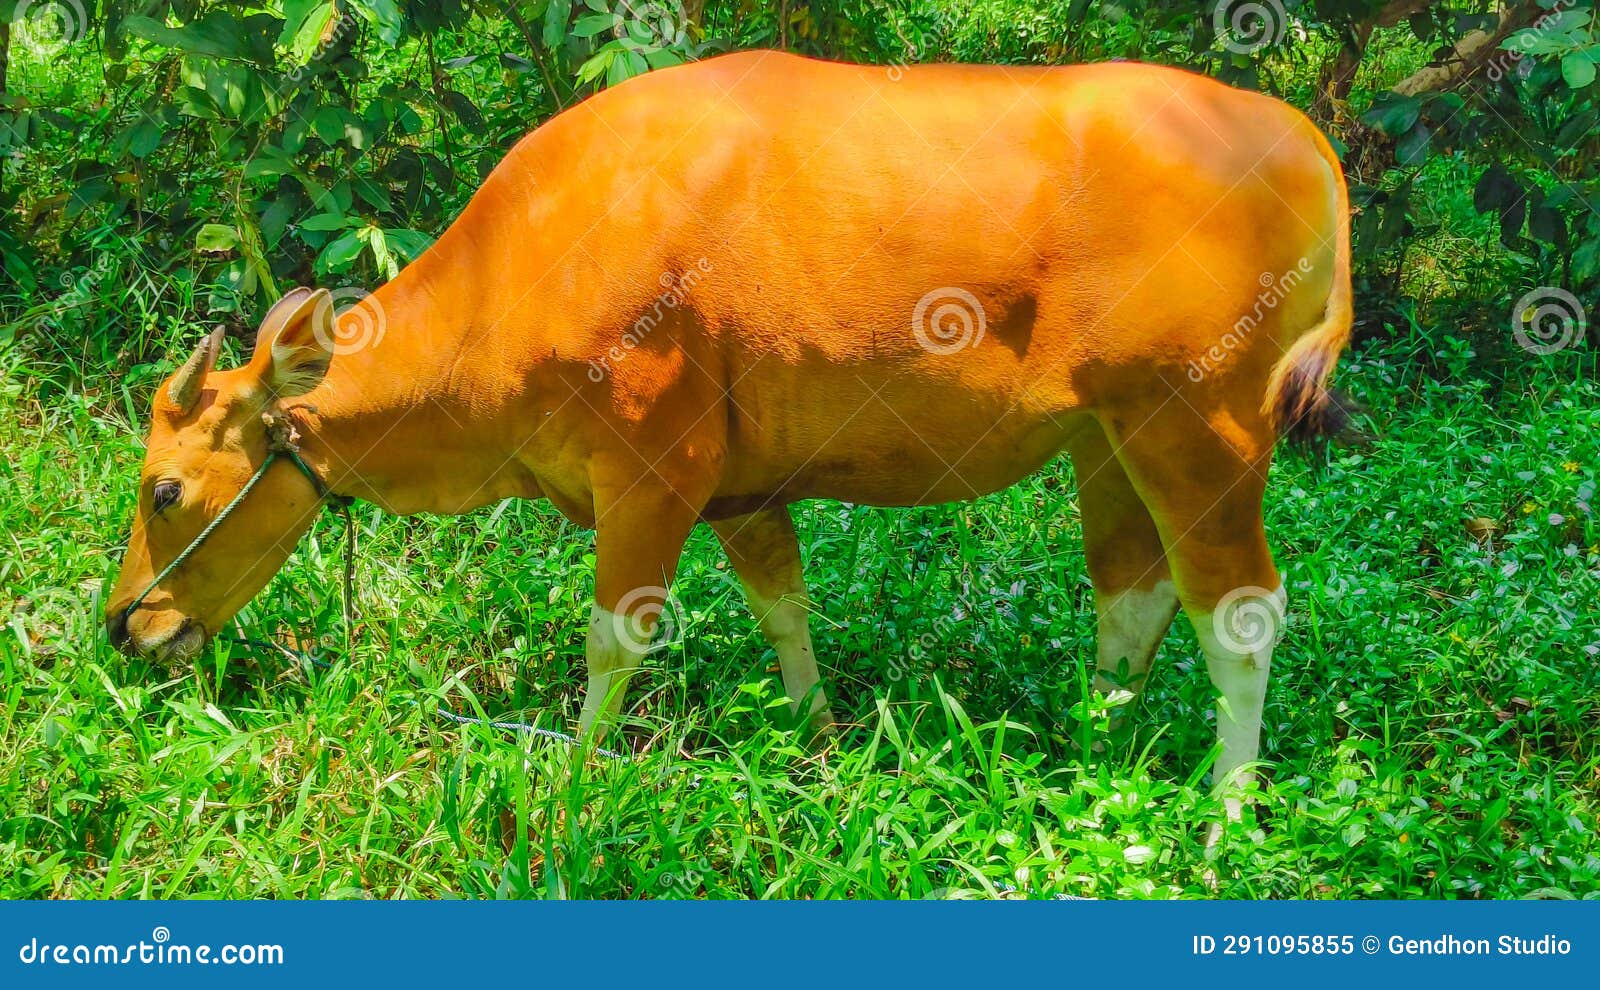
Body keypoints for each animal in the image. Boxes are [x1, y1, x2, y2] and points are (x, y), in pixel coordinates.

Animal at [105, 51, 1351, 810]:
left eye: (165, 490)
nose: (126, 627)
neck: (525, 265)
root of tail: (1298, 137)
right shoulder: (745, 491)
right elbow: (784, 608)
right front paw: (815, 740)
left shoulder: (652, 469)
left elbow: (614, 642)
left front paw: (575, 780)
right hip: (1110, 432)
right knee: (1131, 596)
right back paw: (1098, 752)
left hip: (1200, 425)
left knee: (1240, 613)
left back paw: (1223, 812)